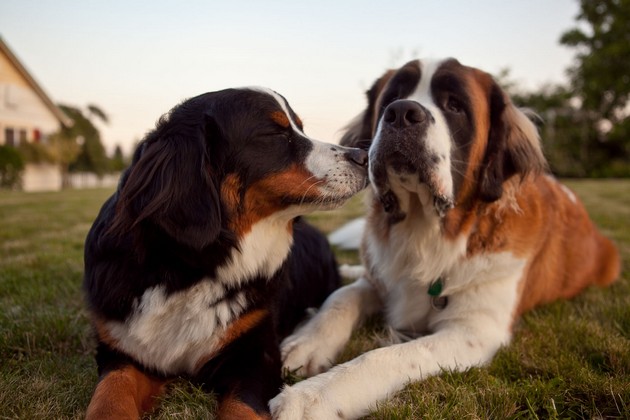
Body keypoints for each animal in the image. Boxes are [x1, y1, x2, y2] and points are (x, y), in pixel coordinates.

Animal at [84, 87, 370, 418]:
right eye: (275, 133)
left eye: (299, 128)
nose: (363, 156)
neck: (189, 270)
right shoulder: (122, 348)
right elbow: (110, 393)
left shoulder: (255, 353)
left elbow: (240, 409)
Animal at [272, 57, 624, 418]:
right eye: (391, 98)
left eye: (454, 105)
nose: (402, 112)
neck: (426, 232)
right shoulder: (381, 280)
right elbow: (341, 298)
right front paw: (307, 342)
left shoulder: (473, 330)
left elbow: (388, 356)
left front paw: (311, 397)